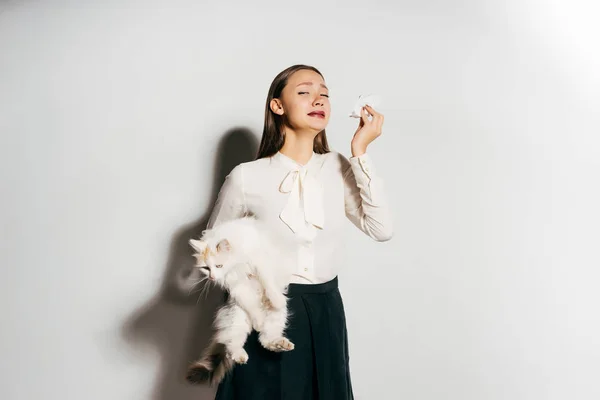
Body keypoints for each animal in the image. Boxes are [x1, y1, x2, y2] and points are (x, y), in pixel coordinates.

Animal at [185, 217, 292, 386]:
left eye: (218, 265)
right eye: (205, 268)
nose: (212, 277)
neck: (237, 265)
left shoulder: (261, 263)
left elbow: (268, 282)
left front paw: (276, 299)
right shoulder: (236, 287)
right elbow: (251, 305)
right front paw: (258, 321)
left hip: (276, 317)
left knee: (266, 338)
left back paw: (279, 342)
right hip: (236, 318)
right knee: (232, 344)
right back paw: (241, 355)